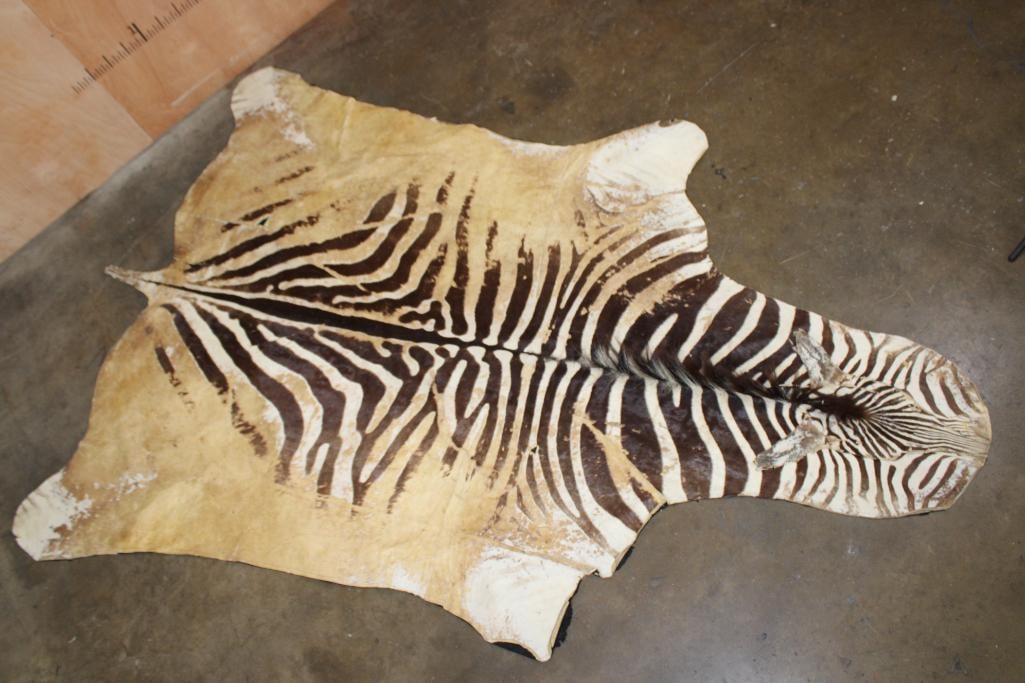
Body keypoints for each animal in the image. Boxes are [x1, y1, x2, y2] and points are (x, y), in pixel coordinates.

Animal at [14, 68, 991, 661]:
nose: (986, 446)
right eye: (912, 482)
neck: (651, 369)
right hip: (141, 484)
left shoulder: (632, 174)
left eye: (940, 395)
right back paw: (39, 517)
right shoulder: (510, 566)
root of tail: (170, 278)